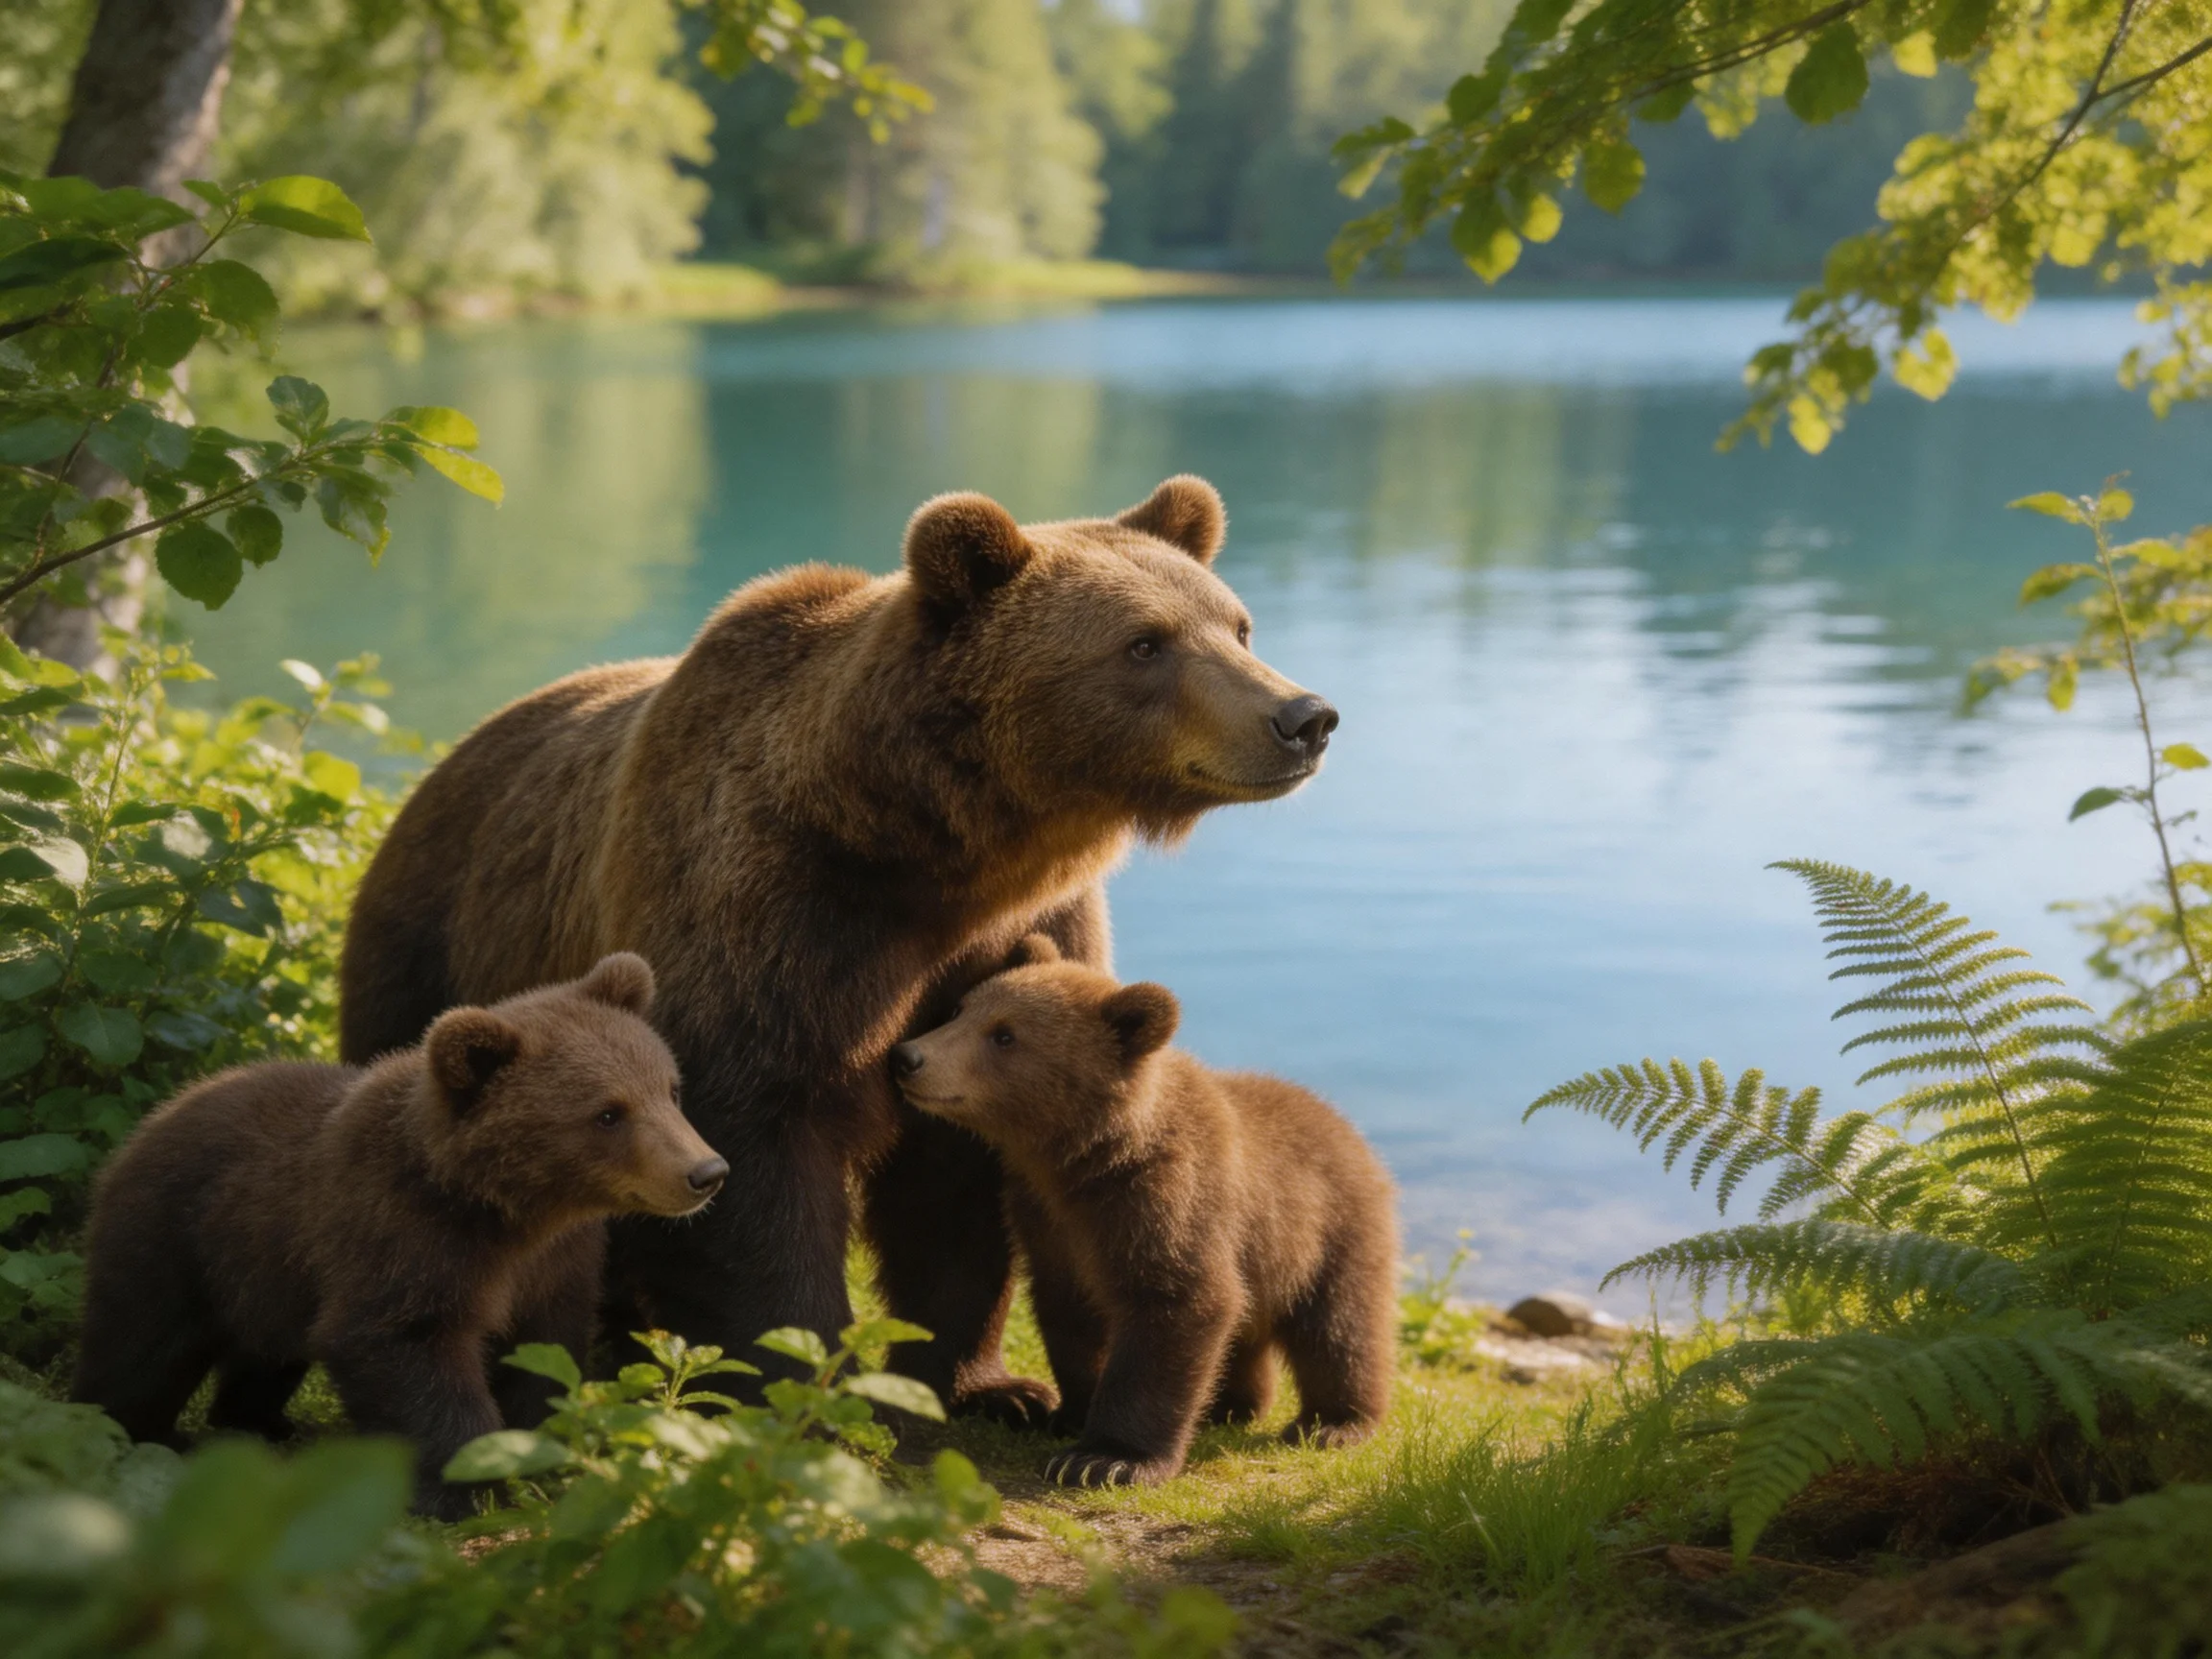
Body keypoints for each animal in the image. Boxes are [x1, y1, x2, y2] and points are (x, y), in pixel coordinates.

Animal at [73, 953, 727, 1516]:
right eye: (608, 1114)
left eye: (669, 1088)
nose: (706, 1172)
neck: (511, 1209)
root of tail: (155, 1117)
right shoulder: (404, 1236)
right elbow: (405, 1347)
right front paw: (467, 1487)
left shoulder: (558, 1263)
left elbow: (543, 1349)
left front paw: (537, 1458)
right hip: (176, 1237)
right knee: (139, 1347)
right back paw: (130, 1430)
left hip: (271, 1269)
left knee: (267, 1353)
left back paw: (263, 1422)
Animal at [334, 476, 1338, 1419]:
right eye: (1144, 644)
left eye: (1236, 625)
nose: (1304, 716)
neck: (939, 853)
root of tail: (443, 762)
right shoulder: (777, 916)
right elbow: (755, 1156)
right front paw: (803, 1382)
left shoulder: (1014, 942)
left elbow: (960, 1177)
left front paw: (980, 1384)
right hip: (429, 954)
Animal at [889, 935, 1399, 1486]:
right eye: (961, 1009)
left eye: (1005, 1035)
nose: (908, 1056)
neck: (1085, 1157)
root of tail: (1345, 1124)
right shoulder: (1047, 1222)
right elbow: (1070, 1315)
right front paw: (1069, 1414)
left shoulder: (1167, 1203)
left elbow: (1177, 1304)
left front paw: (1106, 1458)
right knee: (1247, 1327)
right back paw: (1228, 1405)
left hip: (1331, 1231)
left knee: (1340, 1330)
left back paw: (1335, 1423)